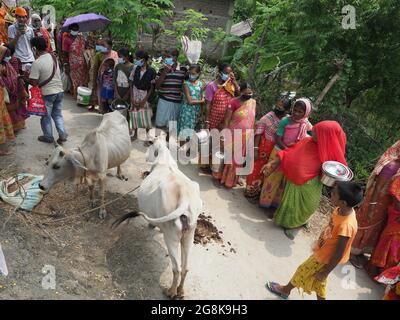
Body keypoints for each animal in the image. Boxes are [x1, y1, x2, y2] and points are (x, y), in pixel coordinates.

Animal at [114, 136, 205, 300]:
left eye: (149, 144)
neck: (164, 160)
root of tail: (185, 198)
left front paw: (151, 226)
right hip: (189, 234)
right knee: (185, 268)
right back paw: (180, 291)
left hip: (171, 237)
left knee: (176, 268)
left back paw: (171, 292)